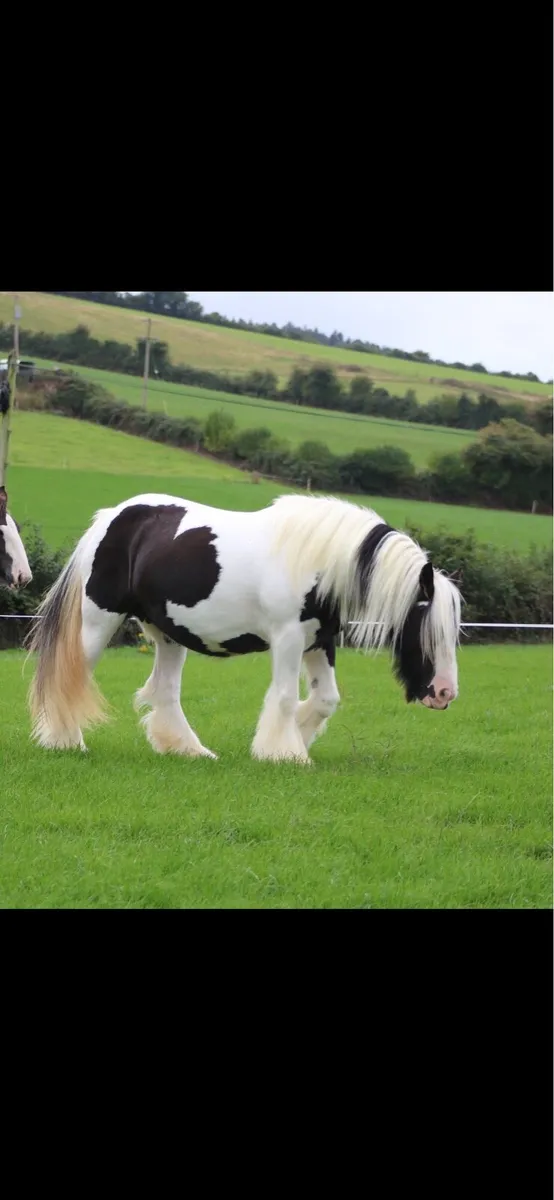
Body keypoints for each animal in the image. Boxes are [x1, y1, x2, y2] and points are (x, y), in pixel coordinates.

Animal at [26, 492, 462, 763]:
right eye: (426, 627)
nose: (445, 693)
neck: (318, 560)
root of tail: (111, 518)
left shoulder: (318, 641)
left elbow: (325, 700)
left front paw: (297, 737)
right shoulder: (287, 639)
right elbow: (285, 697)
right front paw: (284, 753)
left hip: (169, 635)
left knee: (164, 691)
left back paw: (189, 751)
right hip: (98, 622)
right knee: (69, 678)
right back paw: (66, 742)